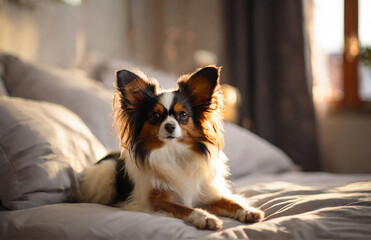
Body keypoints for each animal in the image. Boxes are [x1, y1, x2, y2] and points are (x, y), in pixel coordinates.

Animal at [79, 66, 264, 231]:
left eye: (183, 115)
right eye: (154, 116)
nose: (169, 126)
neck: (174, 152)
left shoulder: (207, 194)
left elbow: (230, 202)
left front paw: (247, 211)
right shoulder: (155, 201)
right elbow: (185, 208)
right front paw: (205, 218)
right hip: (106, 173)